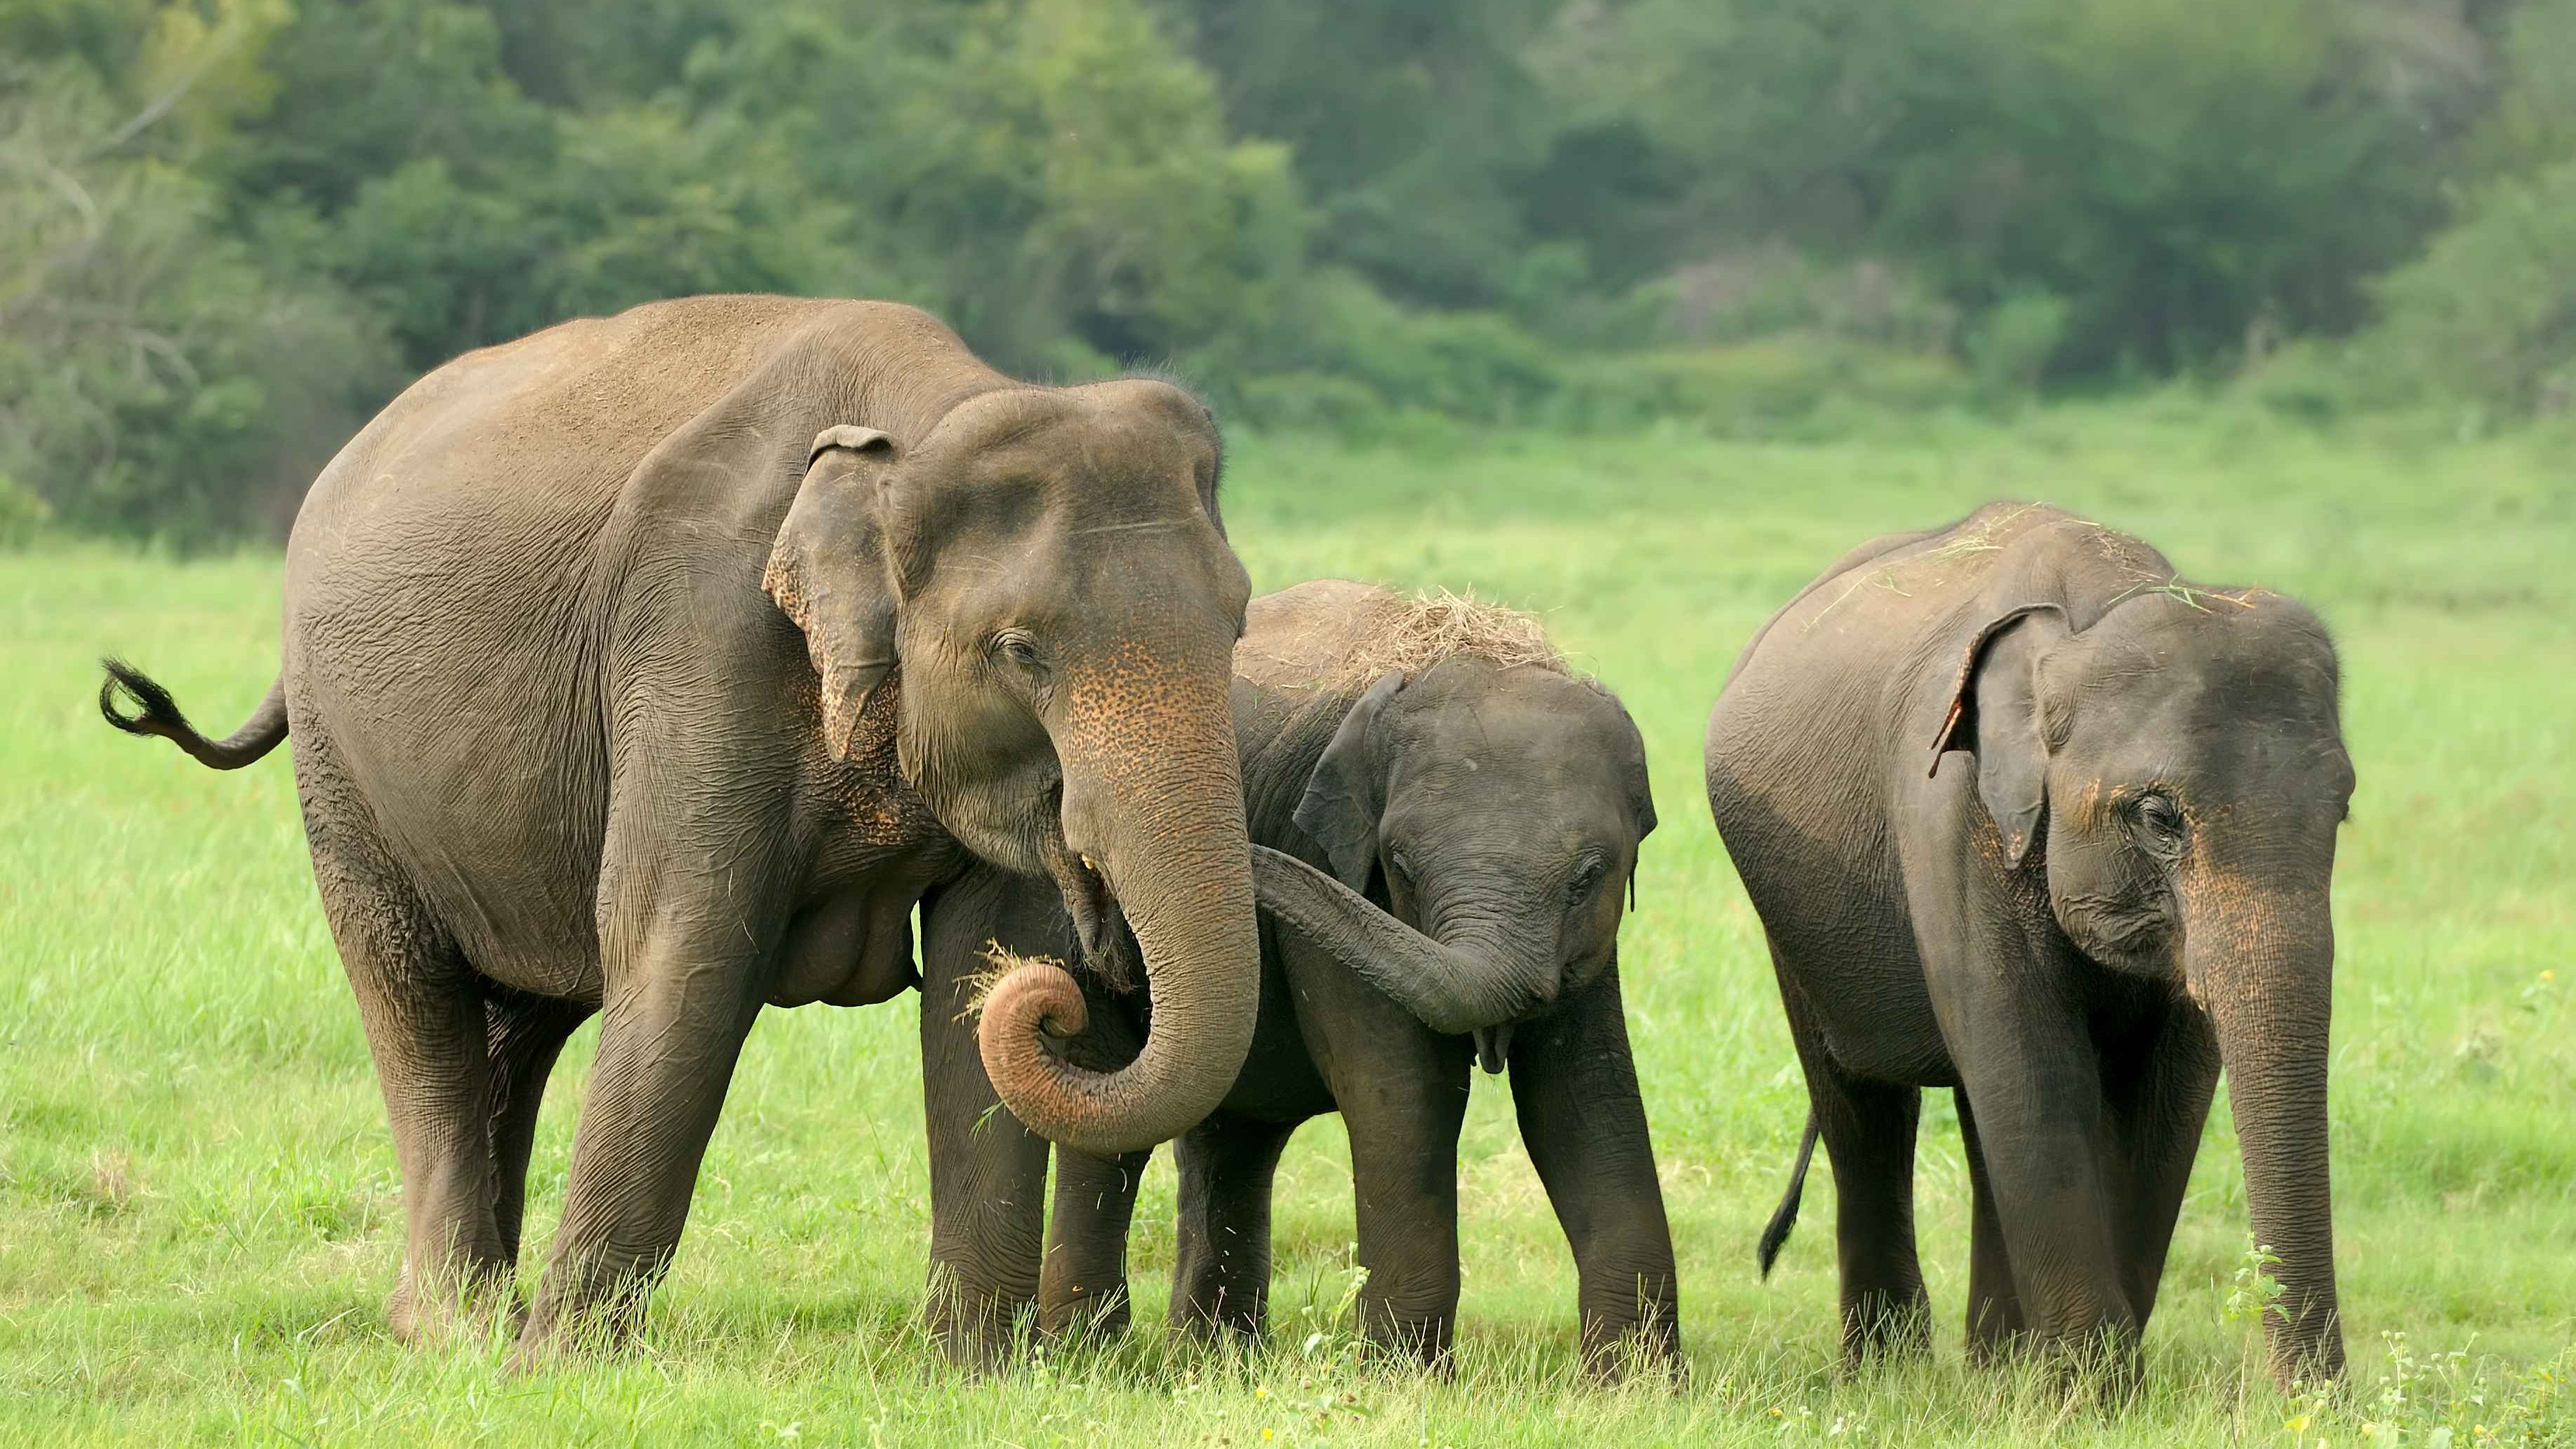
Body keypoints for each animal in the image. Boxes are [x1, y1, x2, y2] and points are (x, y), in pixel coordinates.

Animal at [95, 295, 1288, 1361]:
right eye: (1020, 651)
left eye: (1237, 622)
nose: (1095, 974)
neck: (931, 410)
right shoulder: (697, 636)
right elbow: (688, 953)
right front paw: (562, 1370)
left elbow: (978, 963)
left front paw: (972, 1372)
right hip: (342, 773)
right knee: (416, 1003)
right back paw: (459, 1332)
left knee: (522, 1023)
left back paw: (485, 1307)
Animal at [919, 580, 1679, 1376]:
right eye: (1401, 866)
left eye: (1589, 875)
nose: (1092, 859)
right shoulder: (1334, 880)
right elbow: (1405, 1095)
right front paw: (1405, 1382)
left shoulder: (1592, 950)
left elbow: (1584, 1100)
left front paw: (1637, 1386)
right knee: (1116, 1123)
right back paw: (1095, 1355)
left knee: (1232, 1136)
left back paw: (1219, 1360)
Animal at [1703, 503, 2352, 1389]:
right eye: (2159, 818)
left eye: (2342, 810)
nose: (2320, 1403)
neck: (2089, 614)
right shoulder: (1950, 819)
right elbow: (2033, 1073)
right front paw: (2091, 1395)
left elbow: (2165, 1098)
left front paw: (2075, 1385)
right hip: (1793, 923)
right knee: (1861, 1100)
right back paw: (1892, 1376)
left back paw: (1994, 1369)